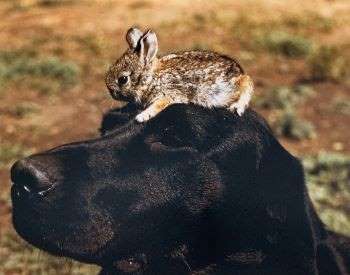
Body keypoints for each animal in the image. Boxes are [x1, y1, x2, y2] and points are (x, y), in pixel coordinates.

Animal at [104, 28, 254, 123]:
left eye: (123, 79)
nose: (111, 92)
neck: (151, 78)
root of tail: (238, 70)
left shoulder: (167, 94)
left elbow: (157, 106)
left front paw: (142, 117)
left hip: (234, 86)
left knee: (247, 84)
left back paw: (237, 107)